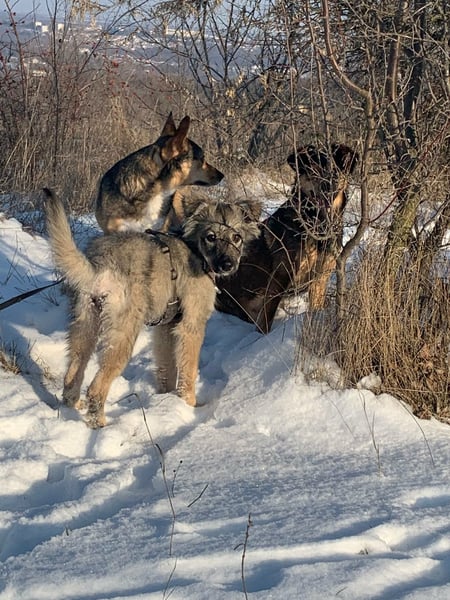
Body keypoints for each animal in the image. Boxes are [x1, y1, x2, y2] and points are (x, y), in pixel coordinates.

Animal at [44, 189, 259, 428]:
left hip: (84, 328)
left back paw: (72, 407)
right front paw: (189, 404)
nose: (227, 265)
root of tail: (101, 263)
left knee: (72, 375)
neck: (196, 249)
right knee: (96, 387)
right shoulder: (192, 326)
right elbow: (188, 370)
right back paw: (98, 422)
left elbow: (167, 367)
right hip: (122, 336)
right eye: (210, 237)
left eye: (236, 238)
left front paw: (165, 399)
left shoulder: (166, 327)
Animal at [215, 144, 358, 333]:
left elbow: (316, 306)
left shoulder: (320, 278)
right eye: (313, 170)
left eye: (335, 172)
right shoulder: (281, 277)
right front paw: (262, 338)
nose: (328, 189)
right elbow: (266, 321)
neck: (318, 225)